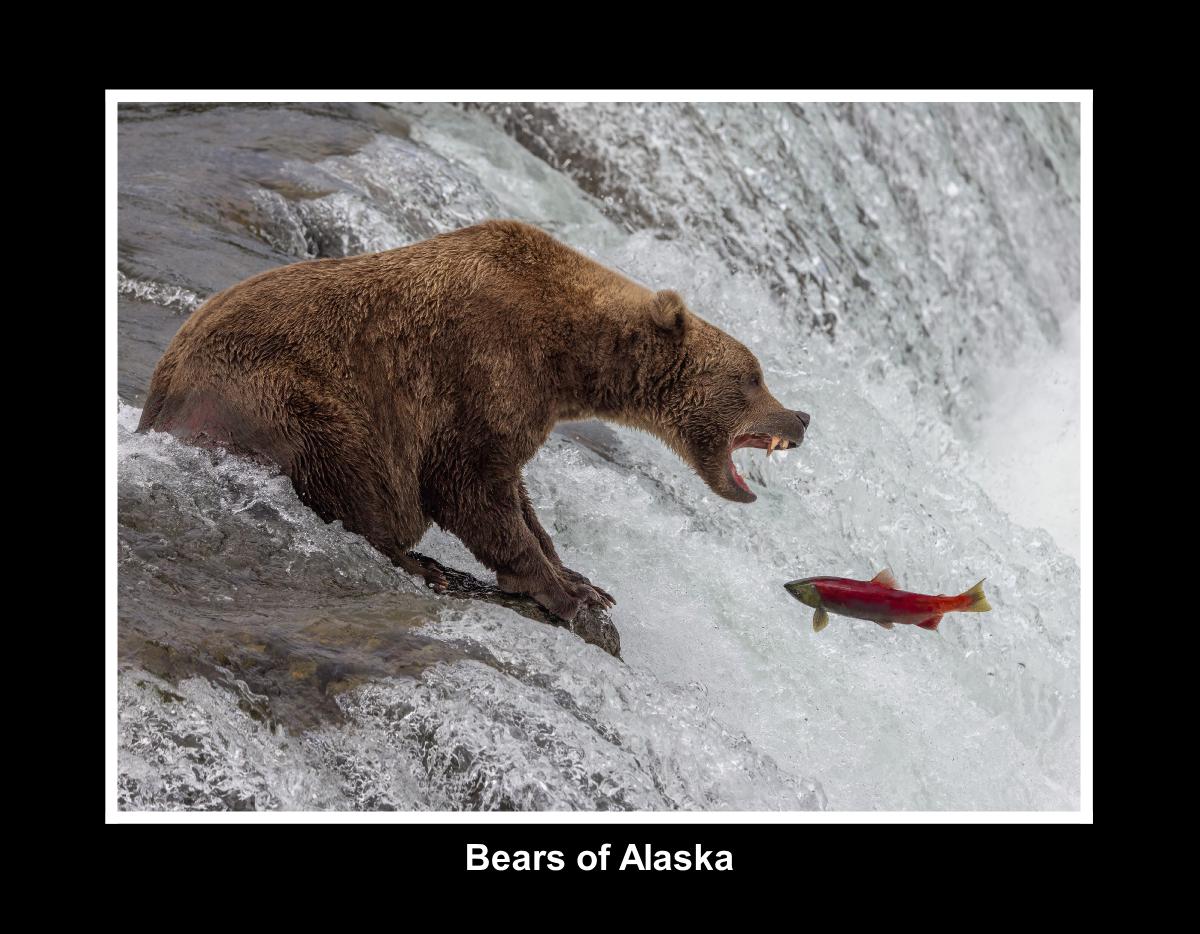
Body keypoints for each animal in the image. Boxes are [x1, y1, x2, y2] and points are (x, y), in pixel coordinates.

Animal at [138, 219, 816, 619]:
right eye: (752, 376)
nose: (803, 416)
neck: (568, 355)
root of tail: (157, 399)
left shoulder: (517, 406)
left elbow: (514, 491)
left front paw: (579, 575)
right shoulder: (477, 371)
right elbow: (469, 488)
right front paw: (565, 591)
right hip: (288, 396)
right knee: (354, 475)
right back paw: (425, 565)